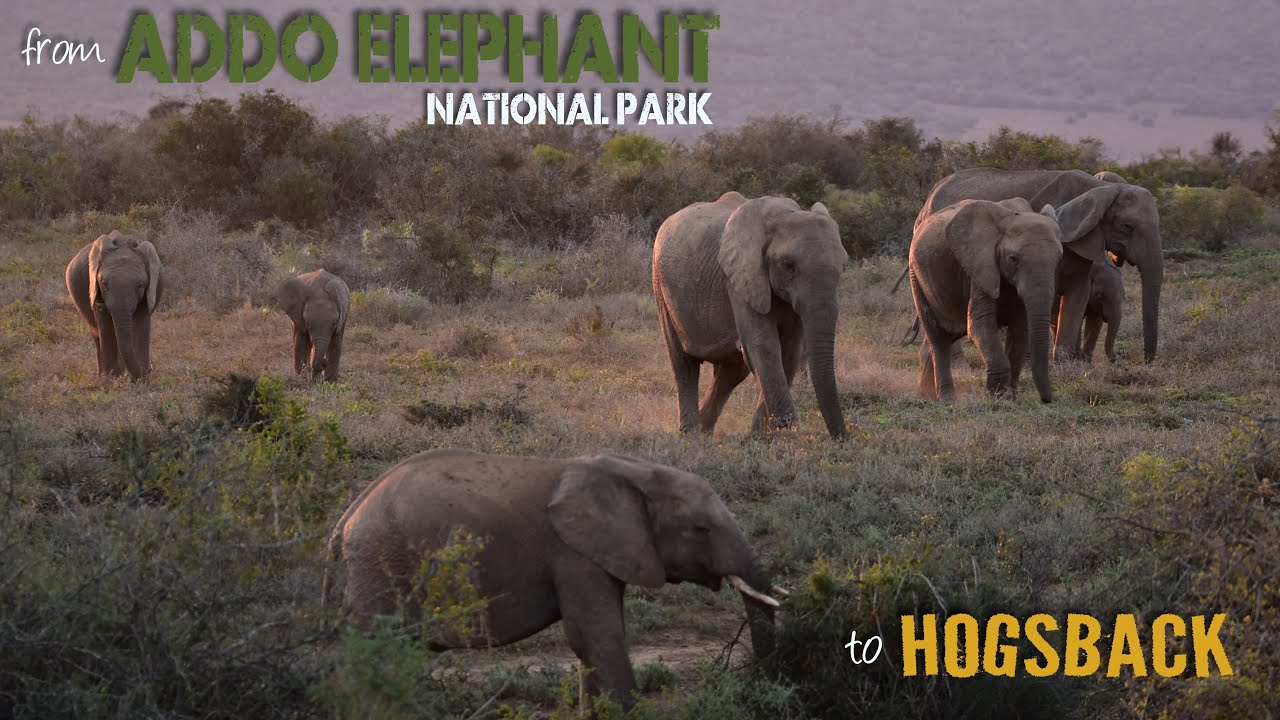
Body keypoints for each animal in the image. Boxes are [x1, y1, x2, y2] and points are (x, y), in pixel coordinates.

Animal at [65, 231, 163, 381]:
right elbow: (106, 326)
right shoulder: (95, 287)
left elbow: (141, 324)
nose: (150, 369)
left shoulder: (150, 290)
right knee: (97, 335)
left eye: (140, 285)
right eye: (104, 283)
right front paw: (110, 380)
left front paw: (142, 381)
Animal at [324, 448, 781, 710]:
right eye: (700, 529)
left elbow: (591, 640)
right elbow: (596, 635)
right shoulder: (572, 552)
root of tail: (345, 518)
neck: (636, 472)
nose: (761, 682)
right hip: (380, 565)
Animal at [651, 192, 848, 439]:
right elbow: (764, 346)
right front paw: (786, 435)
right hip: (660, 284)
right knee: (684, 365)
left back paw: (705, 432)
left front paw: (760, 438)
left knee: (731, 372)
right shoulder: (739, 280)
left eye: (843, 267)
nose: (842, 439)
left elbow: (788, 354)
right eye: (788, 266)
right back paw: (690, 435)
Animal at [908, 197, 1063, 402]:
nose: (1047, 400)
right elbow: (980, 326)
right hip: (916, 277)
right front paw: (995, 397)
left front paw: (1010, 398)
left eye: (1059, 258)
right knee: (938, 337)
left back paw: (925, 394)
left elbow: (1020, 329)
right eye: (1013, 259)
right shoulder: (979, 266)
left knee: (949, 335)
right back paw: (946, 398)